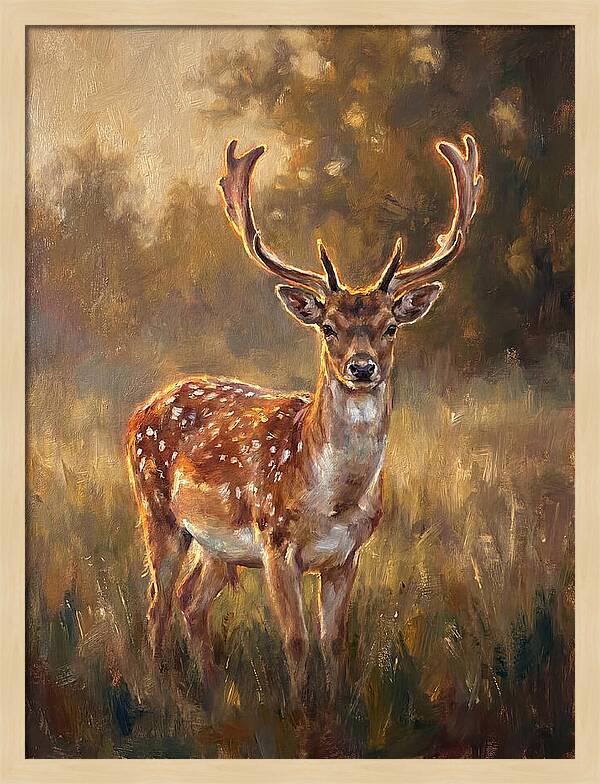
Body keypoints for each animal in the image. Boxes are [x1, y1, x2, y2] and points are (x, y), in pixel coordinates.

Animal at [126, 134, 482, 706]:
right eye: (328, 327)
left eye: (390, 326)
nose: (362, 367)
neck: (333, 502)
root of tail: (142, 408)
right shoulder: (275, 544)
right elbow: (295, 640)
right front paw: (299, 712)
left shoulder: (347, 556)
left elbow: (334, 641)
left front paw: (334, 709)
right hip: (157, 512)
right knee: (157, 601)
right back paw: (163, 691)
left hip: (217, 547)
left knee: (189, 600)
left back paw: (213, 692)